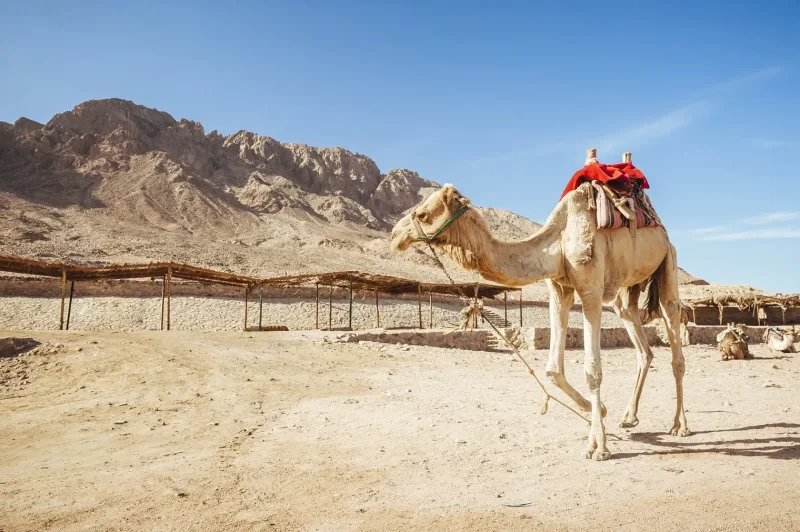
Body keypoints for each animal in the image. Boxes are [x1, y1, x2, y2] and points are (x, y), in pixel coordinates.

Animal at [390, 171, 691, 461]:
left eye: (422, 214)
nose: (394, 235)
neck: (557, 243)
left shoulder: (590, 290)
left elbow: (592, 370)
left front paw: (598, 446)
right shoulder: (559, 289)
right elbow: (553, 369)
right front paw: (601, 411)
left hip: (668, 260)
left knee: (673, 326)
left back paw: (680, 425)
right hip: (627, 287)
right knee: (640, 340)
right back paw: (629, 417)